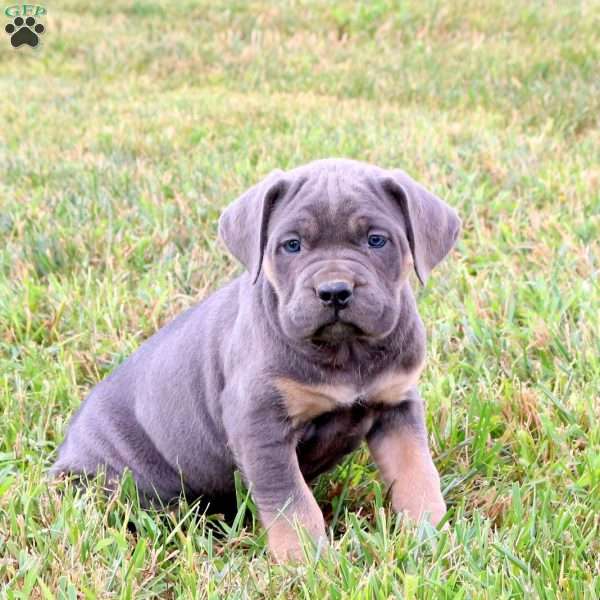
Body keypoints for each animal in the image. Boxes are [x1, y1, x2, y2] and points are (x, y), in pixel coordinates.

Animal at [54, 157, 462, 560]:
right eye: (292, 245)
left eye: (376, 240)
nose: (334, 291)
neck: (346, 352)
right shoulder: (259, 423)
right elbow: (292, 503)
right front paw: (308, 562)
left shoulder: (396, 406)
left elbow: (416, 472)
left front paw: (431, 535)